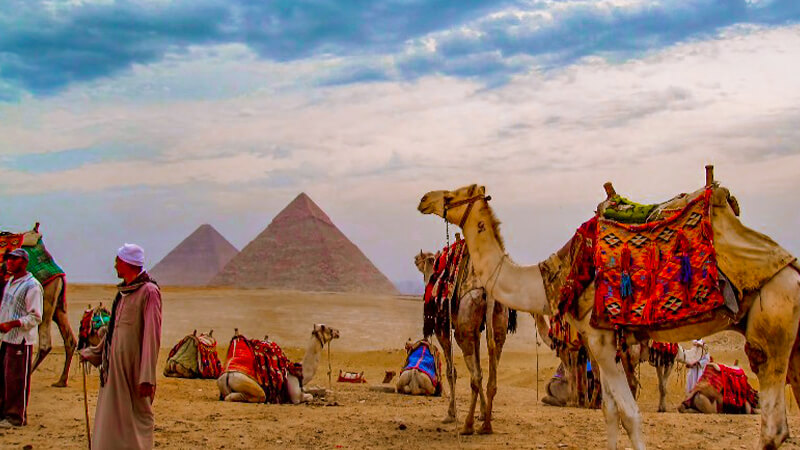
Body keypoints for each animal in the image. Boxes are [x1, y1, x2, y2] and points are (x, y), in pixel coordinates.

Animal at [418, 176, 800, 449]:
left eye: (453, 194)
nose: (424, 199)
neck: (552, 278)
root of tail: (791, 267)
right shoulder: (600, 345)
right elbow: (610, 412)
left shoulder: (599, 339)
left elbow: (630, 415)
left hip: (772, 320)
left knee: (772, 427)